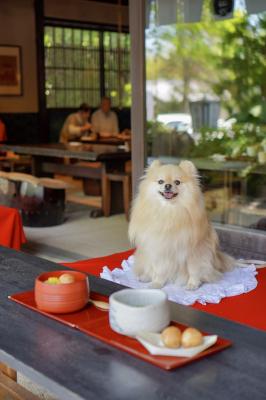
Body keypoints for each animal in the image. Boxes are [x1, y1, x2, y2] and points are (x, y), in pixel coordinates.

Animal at [129, 160, 235, 290]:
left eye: (177, 182)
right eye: (160, 181)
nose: (168, 185)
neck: (170, 211)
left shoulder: (196, 251)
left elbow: (194, 270)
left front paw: (193, 284)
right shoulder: (159, 249)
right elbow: (160, 270)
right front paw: (157, 283)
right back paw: (146, 277)